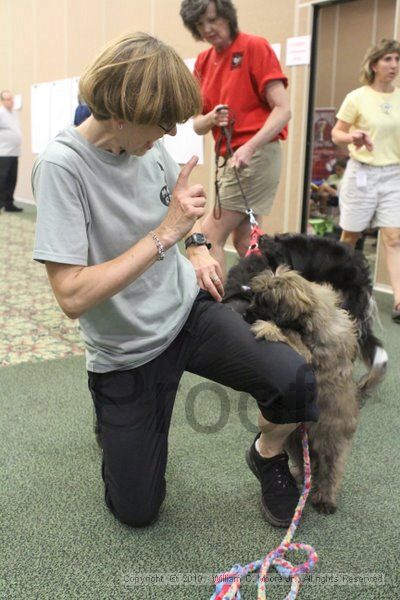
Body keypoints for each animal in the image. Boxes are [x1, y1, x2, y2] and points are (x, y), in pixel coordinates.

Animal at [248, 268, 370, 516]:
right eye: (254, 296)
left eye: (264, 301)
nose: (246, 311)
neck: (311, 321)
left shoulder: (311, 361)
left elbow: (295, 340)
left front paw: (269, 327)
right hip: (295, 442)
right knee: (308, 468)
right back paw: (299, 478)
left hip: (330, 443)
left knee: (329, 473)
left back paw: (325, 499)